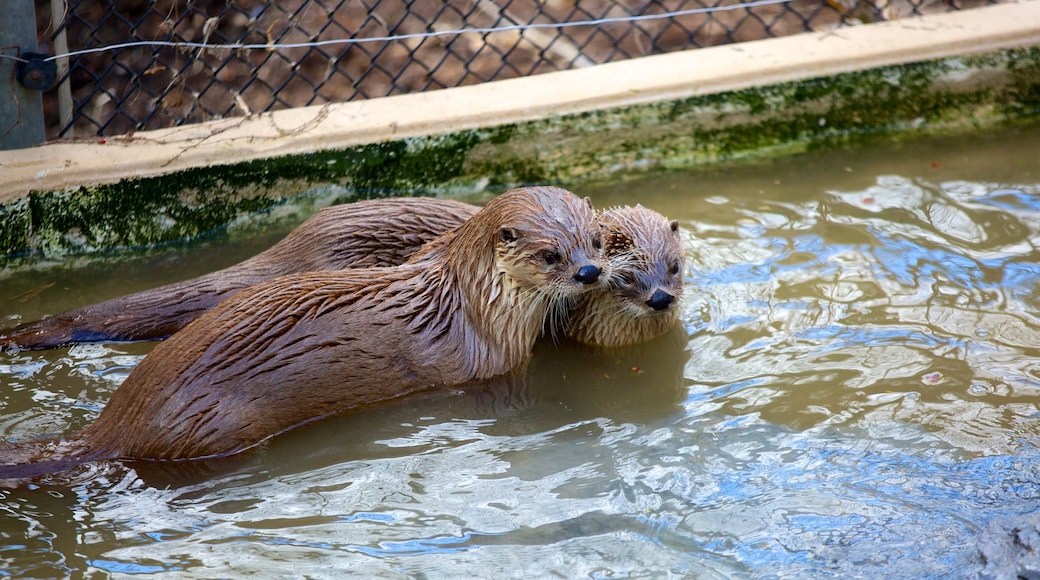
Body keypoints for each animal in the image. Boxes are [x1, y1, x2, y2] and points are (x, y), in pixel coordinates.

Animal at [0, 186, 607, 478]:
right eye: (551, 255)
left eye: (597, 241)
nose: (590, 272)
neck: (472, 301)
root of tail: (119, 425)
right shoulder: (493, 371)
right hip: (220, 427)